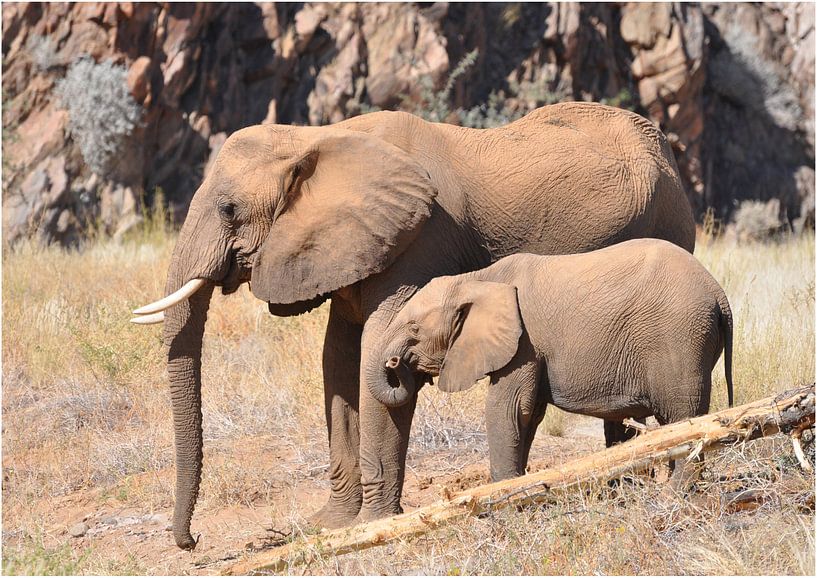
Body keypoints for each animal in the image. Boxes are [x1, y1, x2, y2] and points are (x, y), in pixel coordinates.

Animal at [134, 101, 696, 548]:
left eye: (229, 209)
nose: (191, 541)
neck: (314, 137)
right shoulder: (352, 247)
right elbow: (338, 362)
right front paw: (331, 526)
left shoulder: (418, 240)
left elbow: (366, 355)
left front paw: (372, 524)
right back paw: (620, 482)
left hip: (669, 222)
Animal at [382, 236, 732, 480]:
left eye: (414, 328)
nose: (394, 363)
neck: (476, 278)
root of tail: (719, 294)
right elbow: (529, 414)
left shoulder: (524, 343)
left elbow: (507, 408)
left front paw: (503, 500)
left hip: (680, 338)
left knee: (683, 417)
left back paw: (675, 496)